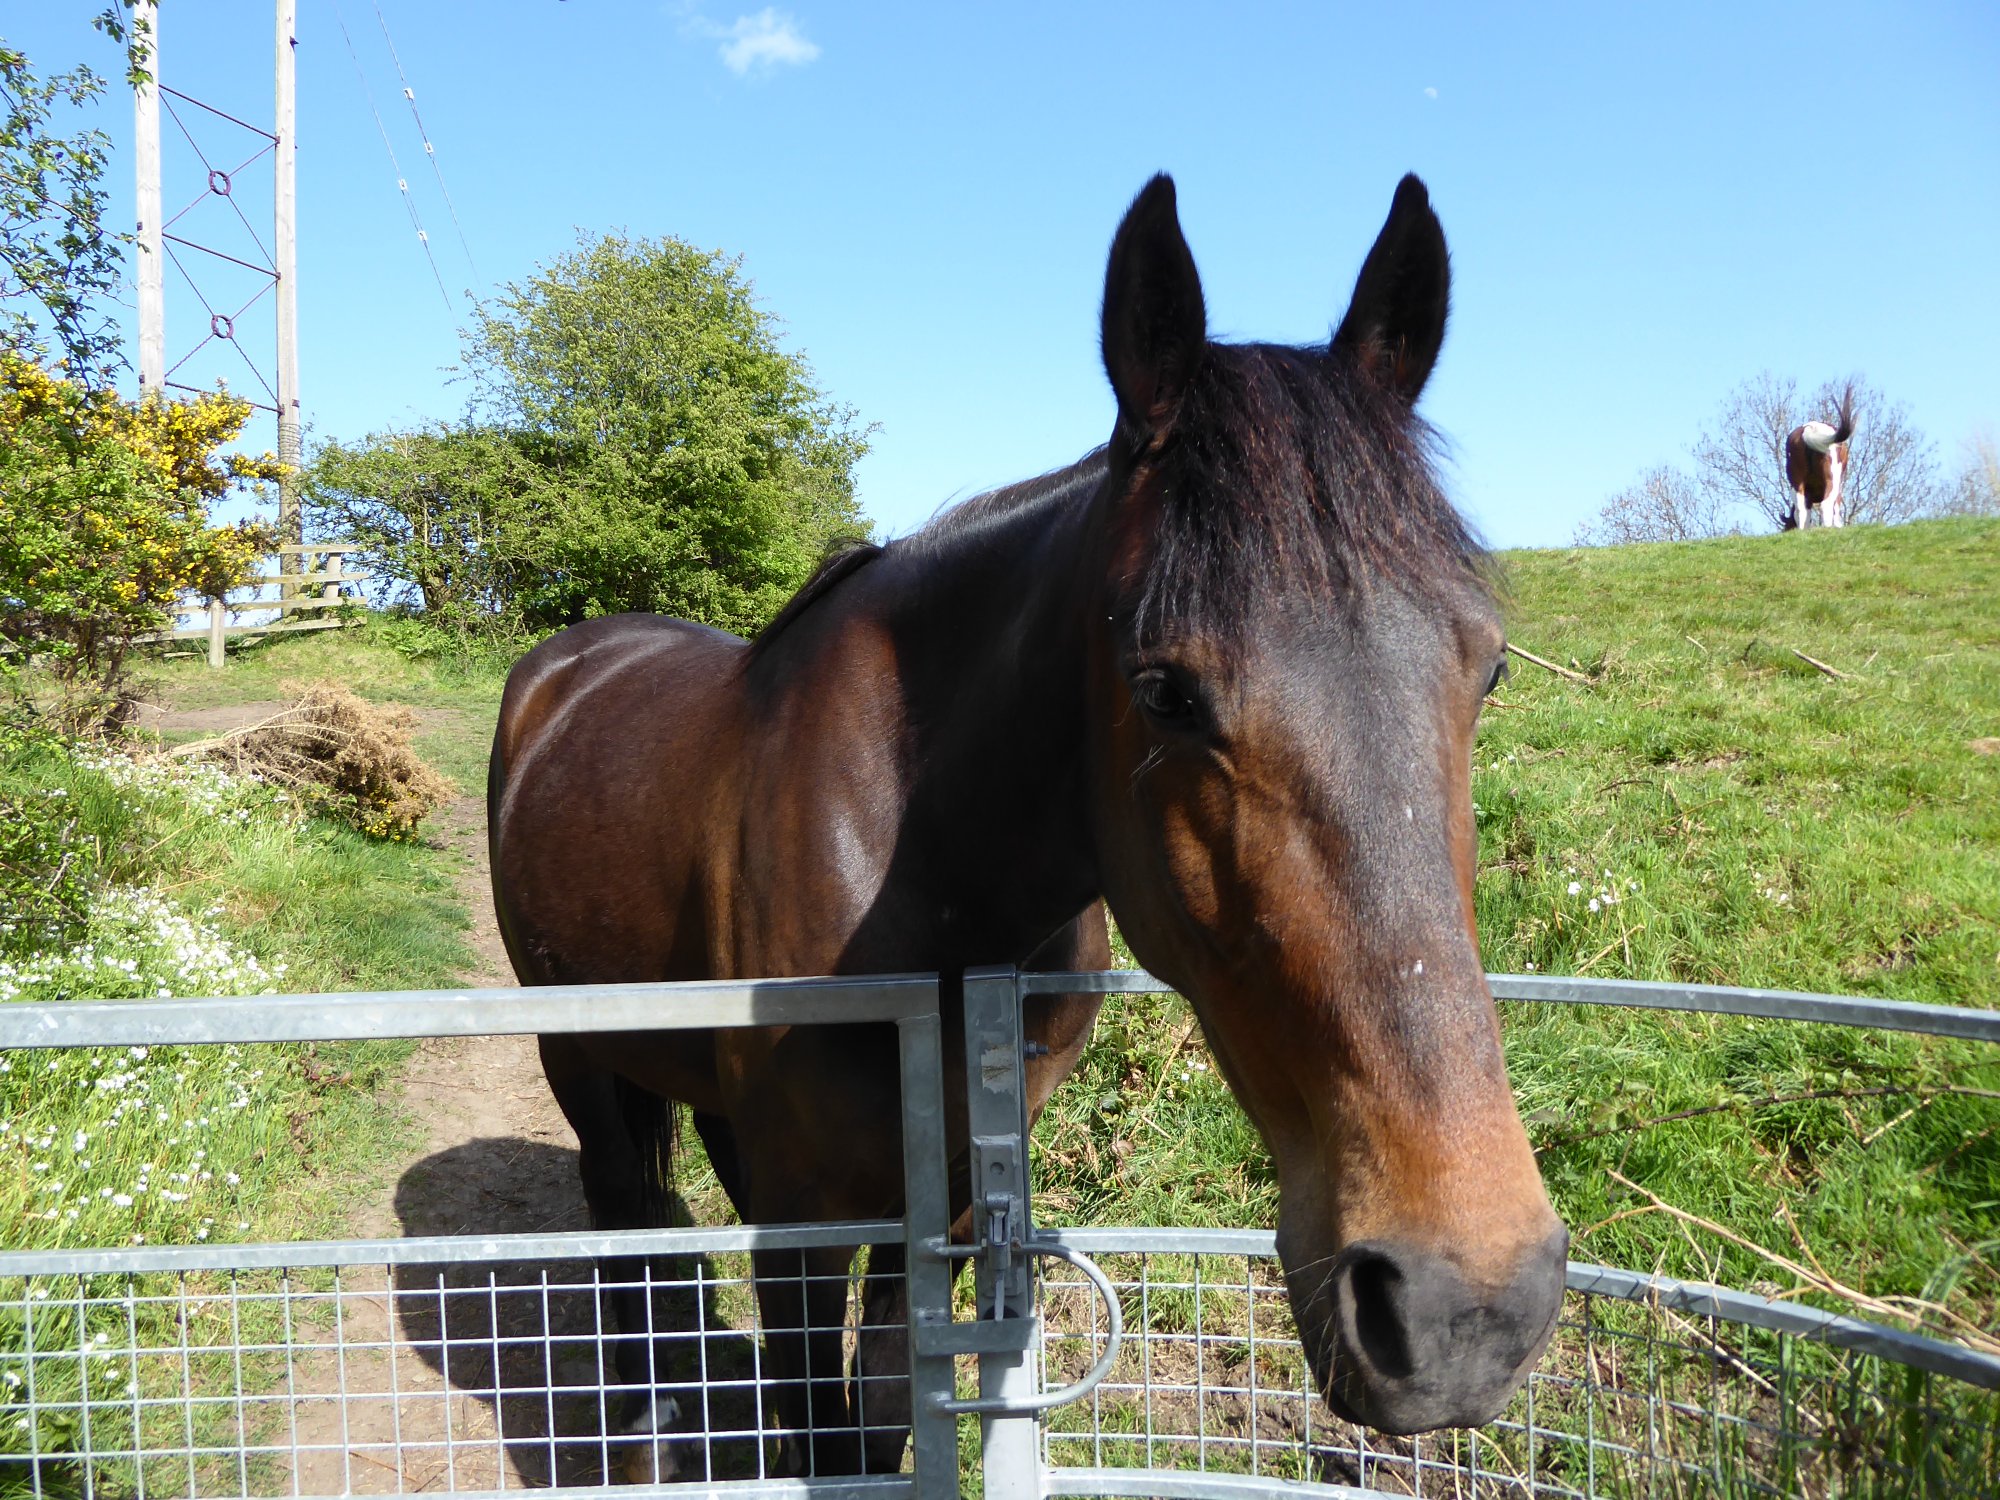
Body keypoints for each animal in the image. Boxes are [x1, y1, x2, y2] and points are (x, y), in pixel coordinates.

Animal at [489, 172, 1567, 1479]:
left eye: (1488, 668)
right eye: (1162, 690)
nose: (1466, 1305)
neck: (931, 882)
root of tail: (565, 665)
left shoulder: (945, 1193)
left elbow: (884, 1411)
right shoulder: (809, 1219)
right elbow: (821, 1425)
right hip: (577, 1059)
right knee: (623, 1229)